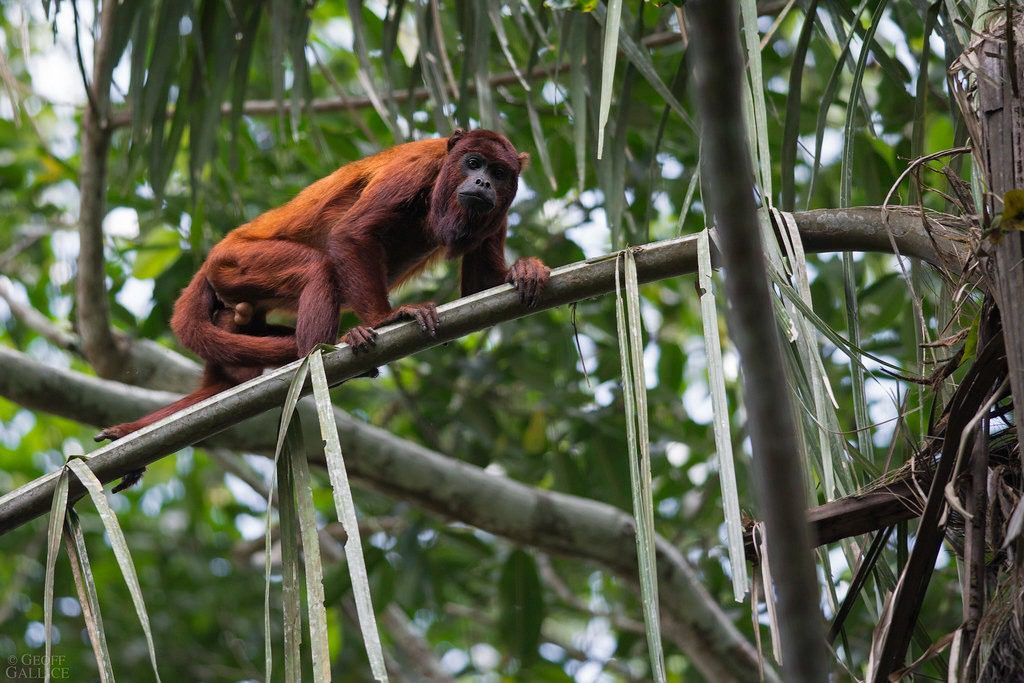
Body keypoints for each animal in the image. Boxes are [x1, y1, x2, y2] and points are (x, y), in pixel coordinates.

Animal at [95, 129, 550, 490]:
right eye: (473, 163)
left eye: (500, 173)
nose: (482, 182)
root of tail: (211, 259)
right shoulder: (416, 169)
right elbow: (353, 233)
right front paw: (387, 318)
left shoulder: (499, 213)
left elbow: (482, 288)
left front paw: (525, 269)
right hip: (238, 263)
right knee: (319, 265)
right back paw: (317, 353)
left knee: (230, 373)